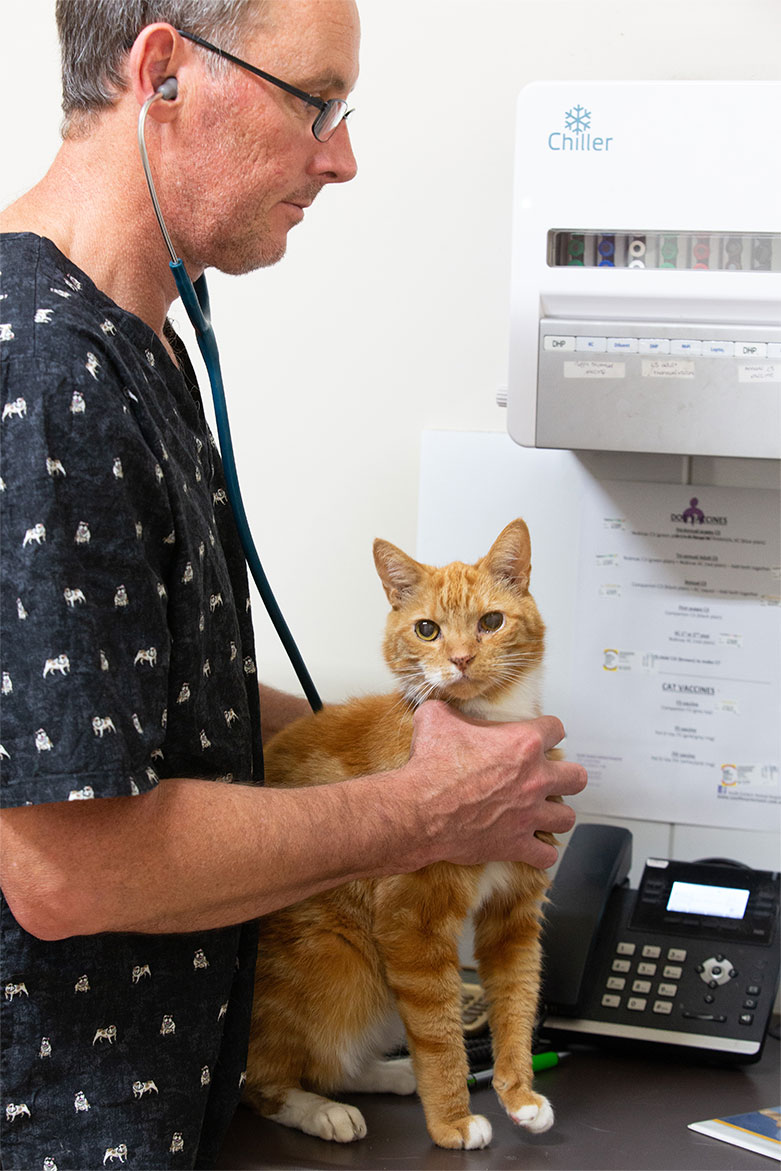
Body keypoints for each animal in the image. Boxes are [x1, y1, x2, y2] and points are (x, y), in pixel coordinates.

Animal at [244, 522, 555, 1152]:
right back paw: (322, 1110)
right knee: (275, 1074)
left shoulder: (514, 915)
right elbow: (436, 1031)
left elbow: (516, 1000)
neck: (487, 724)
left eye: (491, 621)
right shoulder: (411, 923)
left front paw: (518, 1094)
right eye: (427, 629)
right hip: (341, 963)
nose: (461, 659)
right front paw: (453, 1122)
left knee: (346, 1060)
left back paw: (393, 1073)